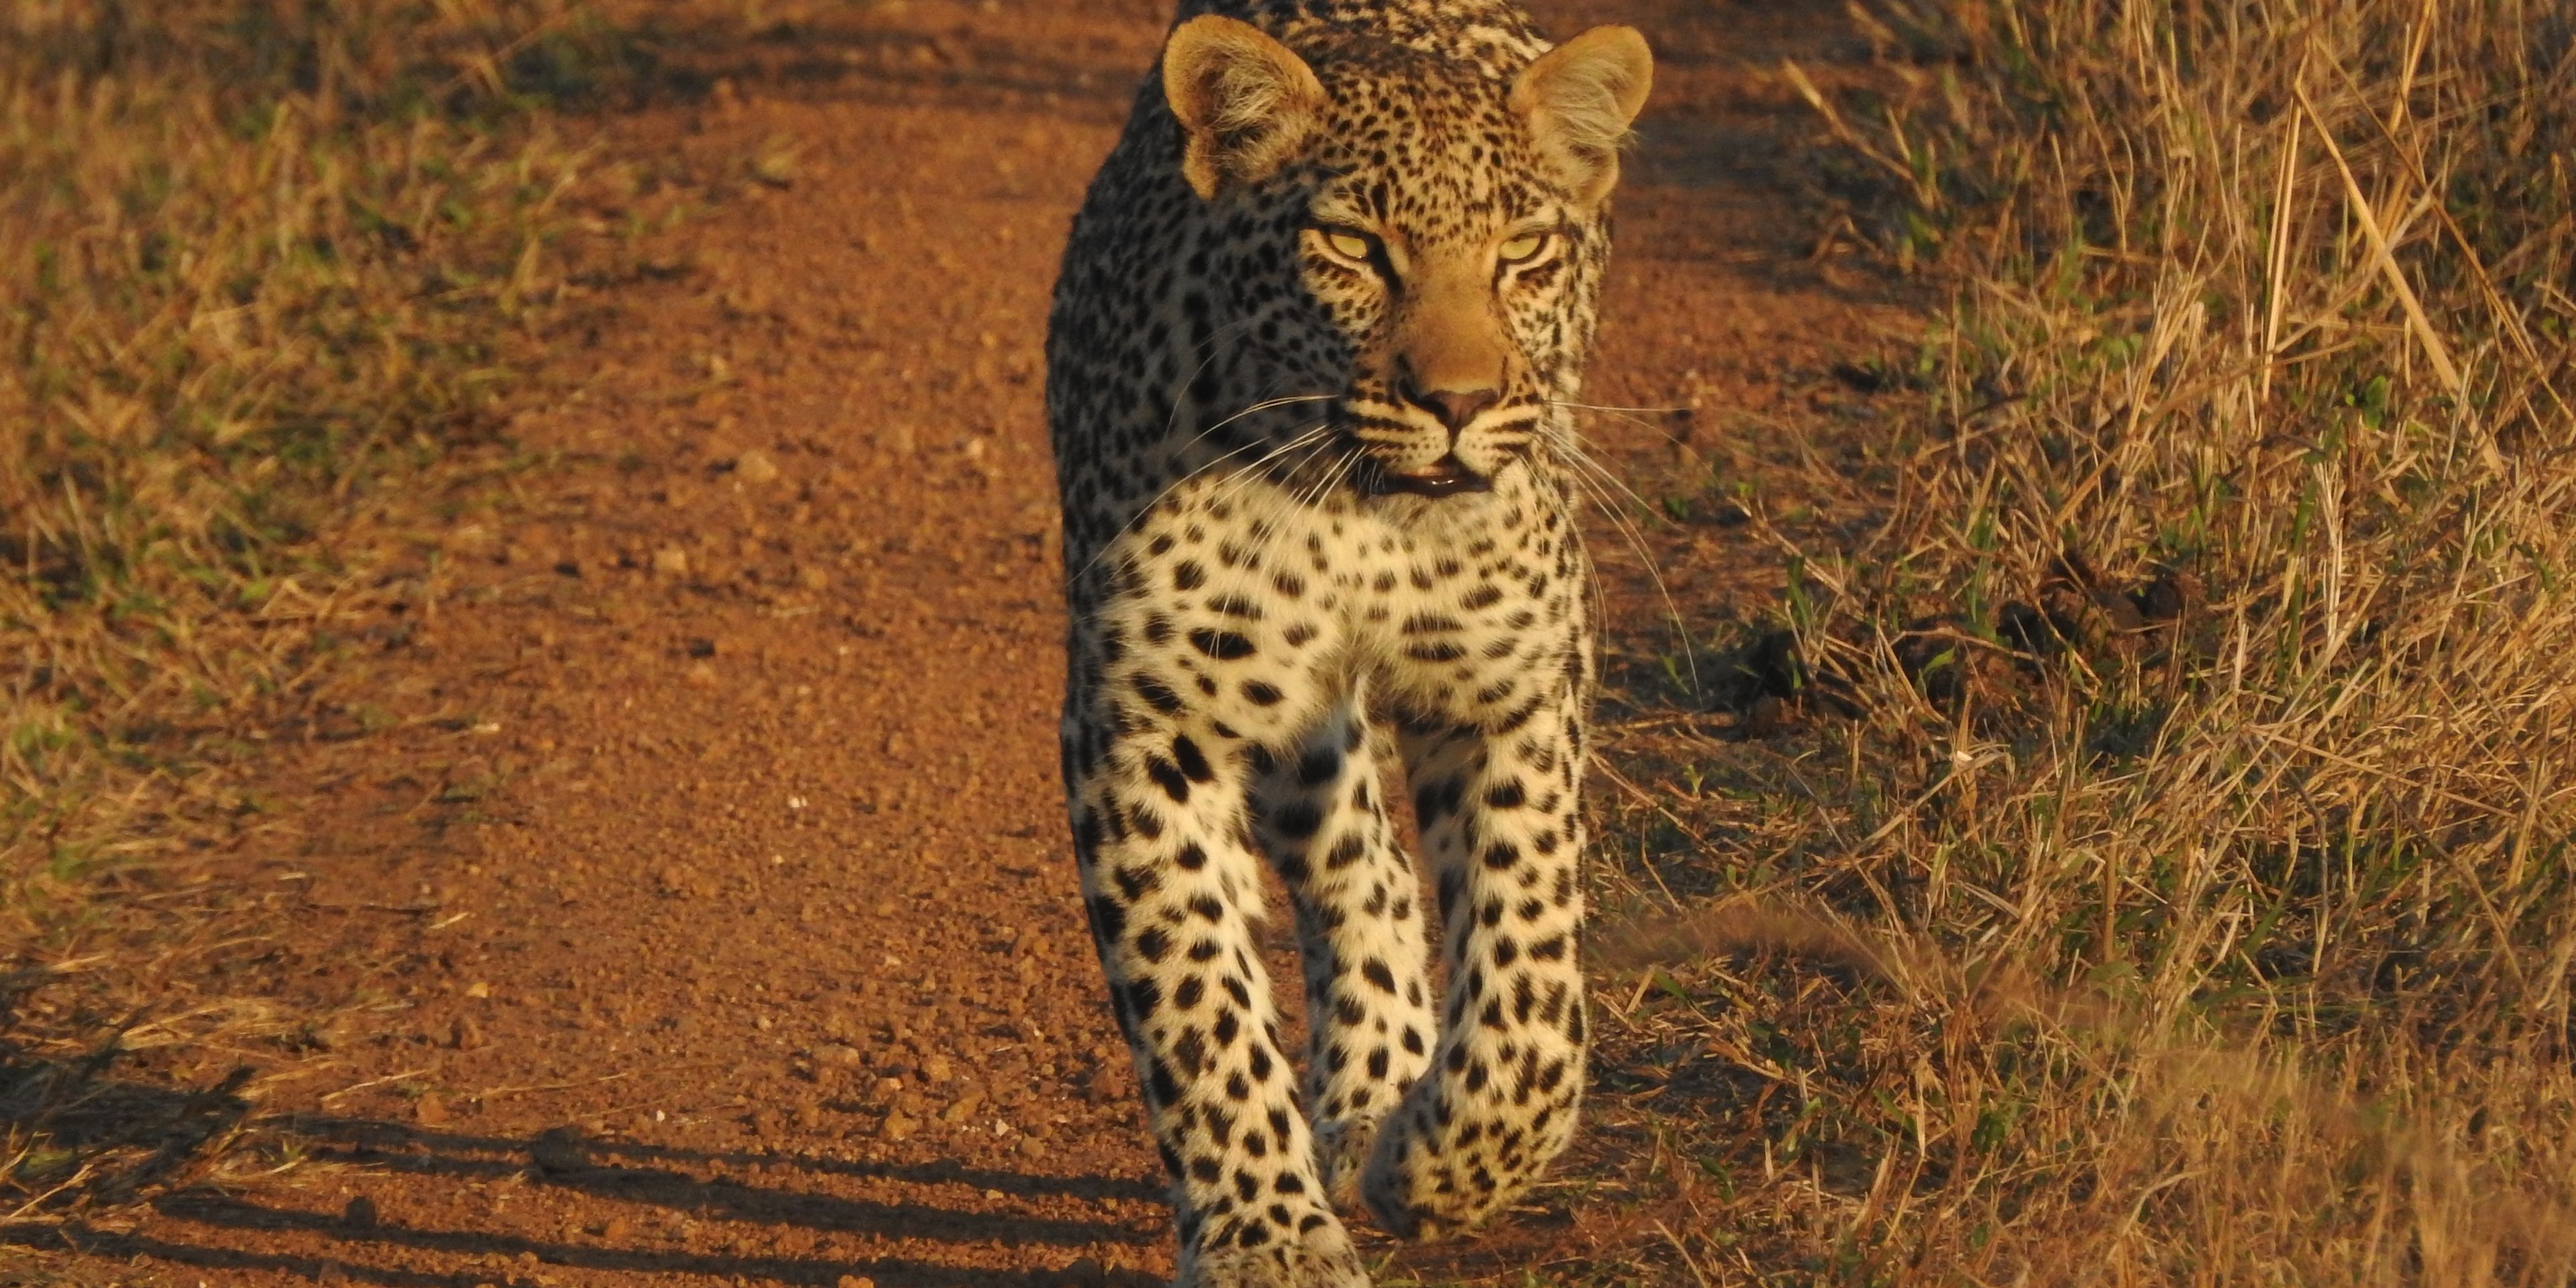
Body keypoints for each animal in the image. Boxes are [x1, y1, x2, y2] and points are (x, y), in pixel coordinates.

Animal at [1045, 3, 1651, 1284]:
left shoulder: (1516, 681)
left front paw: (1445, 1169)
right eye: (1355, 248)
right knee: (1356, 862)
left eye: (1525, 251)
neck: (1368, 521)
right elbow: (1197, 1002)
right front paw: (1265, 1236)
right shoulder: (1145, 722)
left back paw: (1384, 1105)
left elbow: (1531, 979)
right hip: (1284, 721)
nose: (1460, 403)